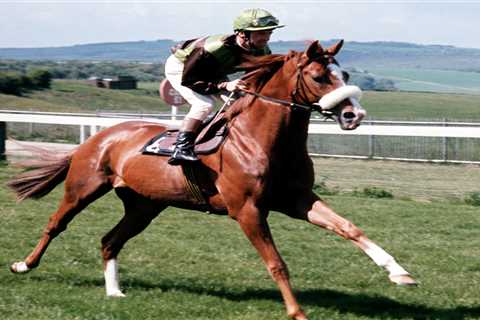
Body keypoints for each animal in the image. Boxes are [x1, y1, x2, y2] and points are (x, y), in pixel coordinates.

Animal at [6, 40, 416, 320]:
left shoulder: (297, 199)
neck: (261, 139)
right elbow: (276, 262)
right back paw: (23, 265)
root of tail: (99, 137)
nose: (353, 115)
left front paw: (399, 272)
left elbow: (349, 227)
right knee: (55, 224)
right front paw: (297, 311)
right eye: (318, 76)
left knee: (110, 240)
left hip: (144, 206)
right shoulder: (247, 210)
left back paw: (115, 292)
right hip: (83, 188)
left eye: (344, 76)